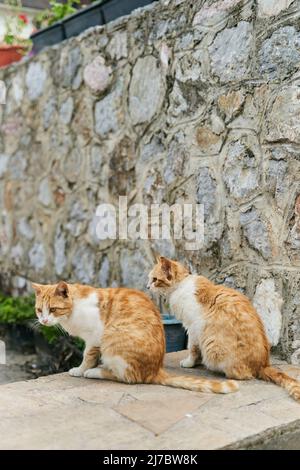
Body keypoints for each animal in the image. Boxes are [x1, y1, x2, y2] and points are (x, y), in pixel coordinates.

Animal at [32, 280, 239, 394]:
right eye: (39, 310)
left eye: (53, 309)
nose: (43, 320)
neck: (74, 310)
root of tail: (155, 370)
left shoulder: (94, 336)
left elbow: (87, 356)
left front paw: (81, 369)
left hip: (112, 340)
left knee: (126, 377)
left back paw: (95, 372)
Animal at [148, 255, 300, 402]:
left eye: (154, 279)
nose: (148, 286)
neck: (180, 285)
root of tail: (264, 364)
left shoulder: (193, 328)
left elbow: (192, 348)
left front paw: (189, 363)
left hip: (214, 346)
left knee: (243, 375)